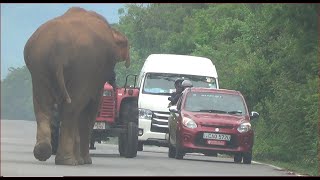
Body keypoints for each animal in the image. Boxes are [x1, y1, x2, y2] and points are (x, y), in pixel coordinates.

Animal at [23, 6, 131, 165]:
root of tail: (58, 52)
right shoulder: (94, 77)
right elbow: (90, 108)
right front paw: (86, 161)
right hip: (81, 66)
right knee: (72, 109)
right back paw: (68, 161)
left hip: (39, 65)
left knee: (43, 105)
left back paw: (44, 152)